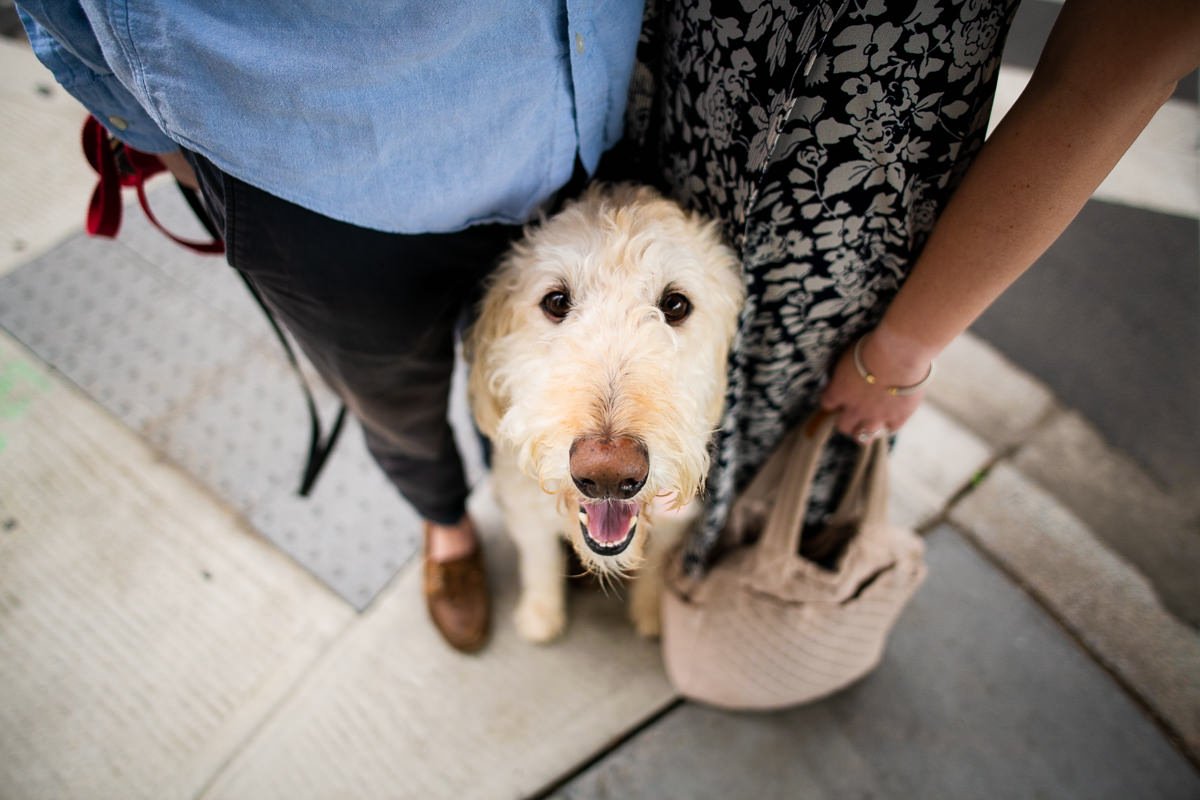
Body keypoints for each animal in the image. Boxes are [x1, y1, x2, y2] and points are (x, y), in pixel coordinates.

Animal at [465, 183, 739, 642]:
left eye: (676, 305)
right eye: (557, 301)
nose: (609, 472)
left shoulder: (675, 518)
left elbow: (656, 562)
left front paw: (650, 612)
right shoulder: (524, 506)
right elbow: (539, 559)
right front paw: (541, 614)